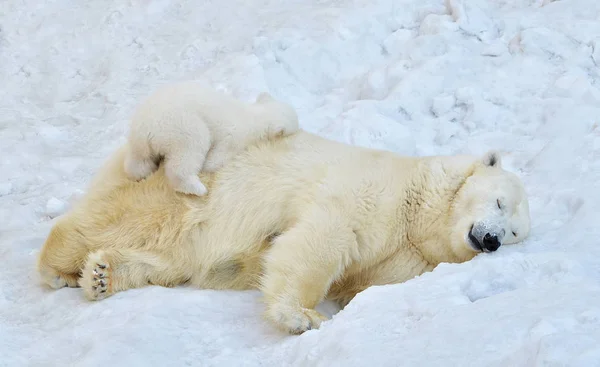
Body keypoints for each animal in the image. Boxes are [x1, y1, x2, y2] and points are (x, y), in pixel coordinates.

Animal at [36, 131, 528, 334]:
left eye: (515, 234)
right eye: (499, 203)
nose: (491, 240)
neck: (421, 210)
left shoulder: (407, 259)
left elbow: (367, 280)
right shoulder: (375, 193)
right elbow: (327, 236)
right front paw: (302, 317)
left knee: (171, 262)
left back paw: (103, 274)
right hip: (194, 190)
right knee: (134, 219)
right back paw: (59, 265)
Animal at [123, 83, 298, 197]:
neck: (256, 116)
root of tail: (143, 130)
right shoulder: (234, 136)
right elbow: (219, 156)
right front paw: (209, 165)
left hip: (140, 142)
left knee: (138, 162)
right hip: (180, 125)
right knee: (189, 152)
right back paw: (198, 188)